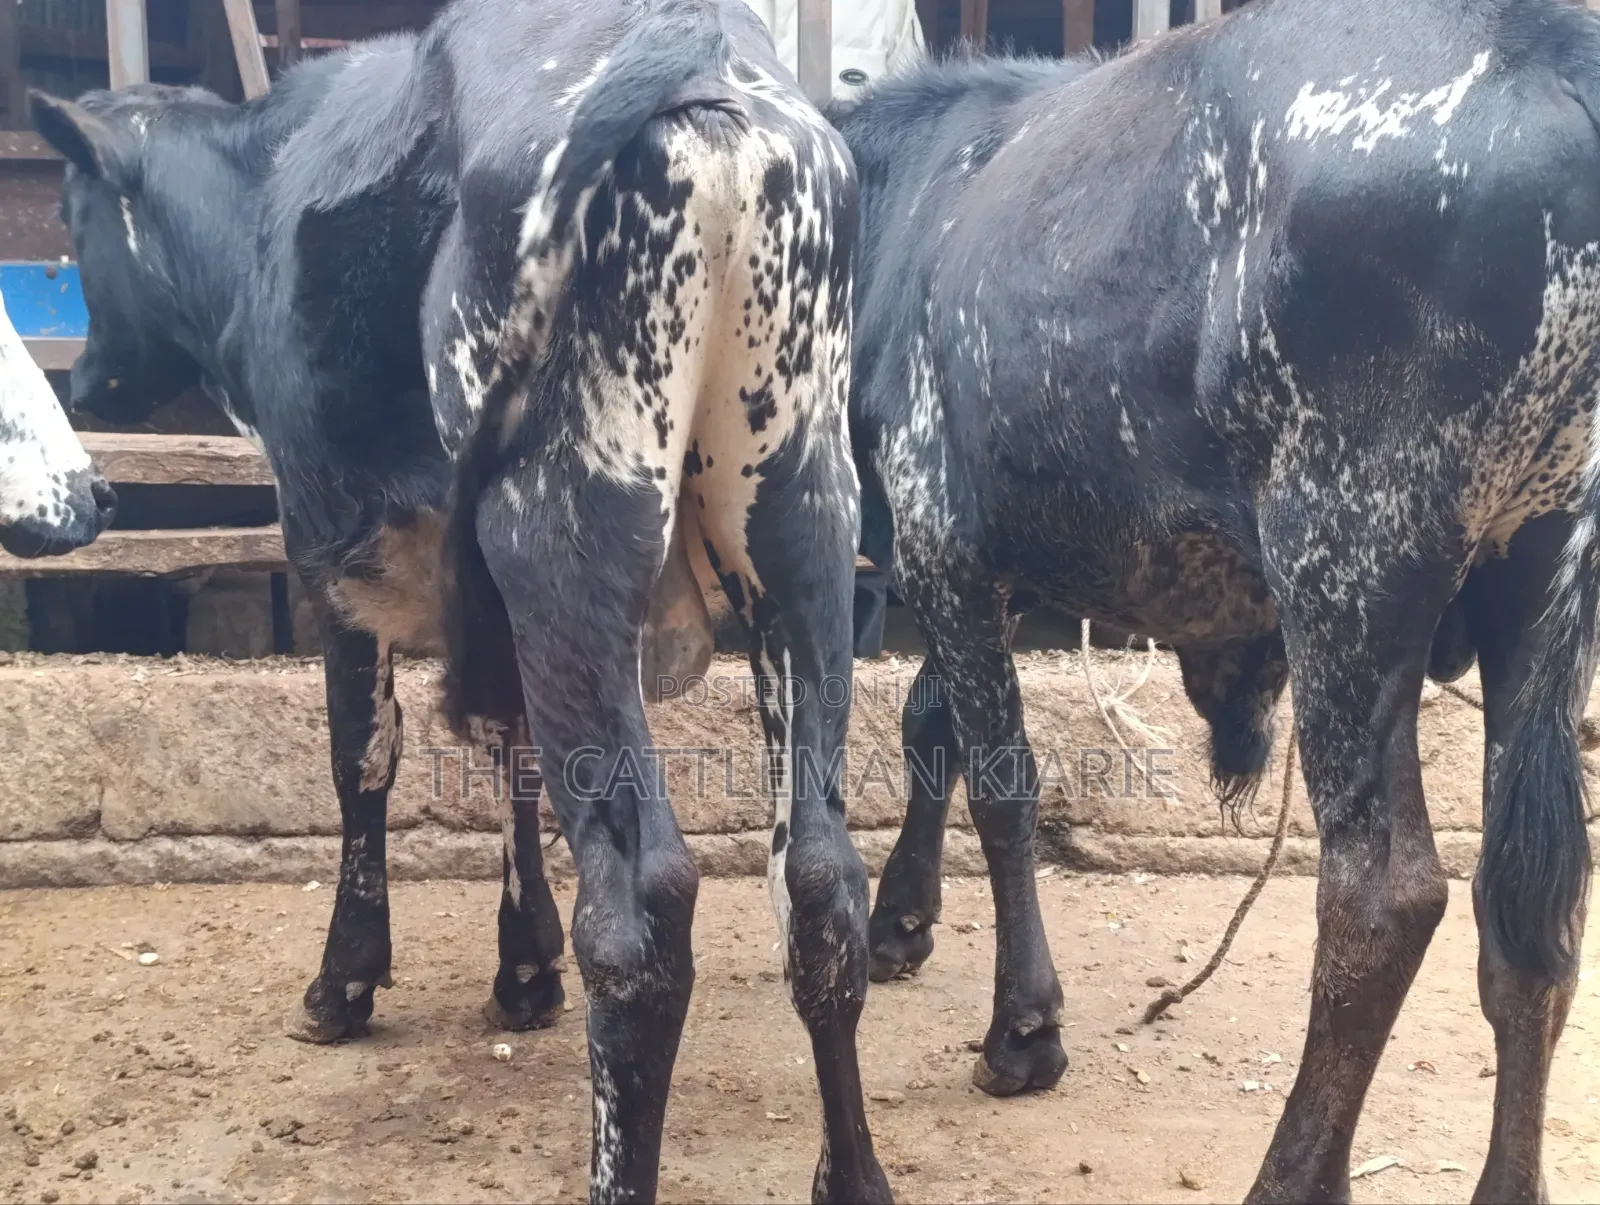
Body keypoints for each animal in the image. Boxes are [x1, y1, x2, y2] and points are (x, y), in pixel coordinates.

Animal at [30, 0, 887, 1199]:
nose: (84, 381)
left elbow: (362, 758)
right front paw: (522, 965)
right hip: (796, 513)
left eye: (74, 217)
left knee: (641, 909)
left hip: (561, 522)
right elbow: (509, 749)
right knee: (820, 877)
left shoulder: (328, 545)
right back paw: (851, 1174)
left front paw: (343, 982)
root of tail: (692, 52)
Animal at [832, 1, 1598, 1199]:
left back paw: (1291, 1172)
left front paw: (1023, 1030)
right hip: (1540, 580)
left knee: (1384, 897)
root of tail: (1555, 46)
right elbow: (931, 723)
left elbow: (1001, 783)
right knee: (1530, 910)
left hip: (1349, 573)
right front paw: (901, 919)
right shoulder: (984, 557)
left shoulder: (941, 534)